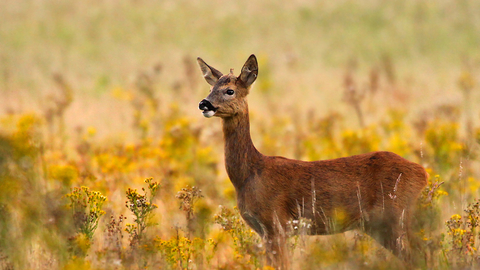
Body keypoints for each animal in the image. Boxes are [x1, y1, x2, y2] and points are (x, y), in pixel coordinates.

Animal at [197, 54, 430, 268]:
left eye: (230, 91)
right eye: (210, 88)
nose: (204, 103)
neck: (249, 174)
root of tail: (423, 173)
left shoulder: (276, 223)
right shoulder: (266, 231)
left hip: (396, 215)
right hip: (380, 225)